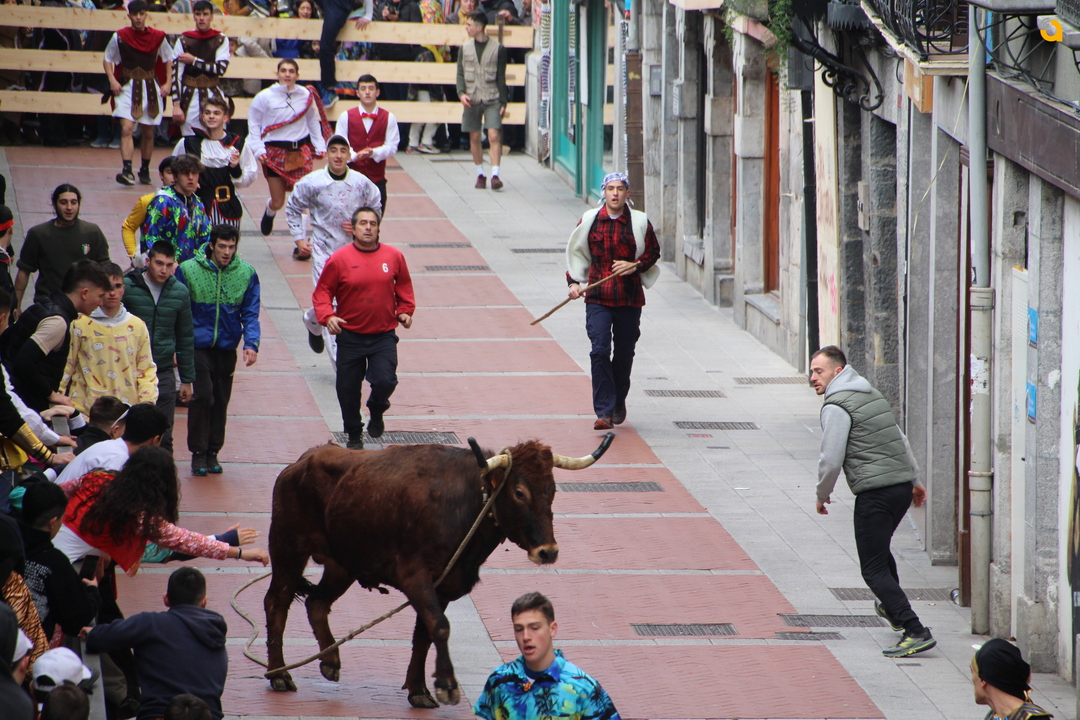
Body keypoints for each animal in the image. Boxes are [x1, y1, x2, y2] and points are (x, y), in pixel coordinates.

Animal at [263, 434, 614, 707]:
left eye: (551, 491)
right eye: (519, 492)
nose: (548, 551)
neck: (465, 503)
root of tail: (302, 461)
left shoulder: (442, 586)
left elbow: (424, 634)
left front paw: (419, 689)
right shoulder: (415, 577)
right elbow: (440, 627)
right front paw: (446, 684)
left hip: (341, 565)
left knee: (317, 602)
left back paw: (330, 661)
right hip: (288, 550)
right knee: (276, 603)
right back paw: (279, 674)